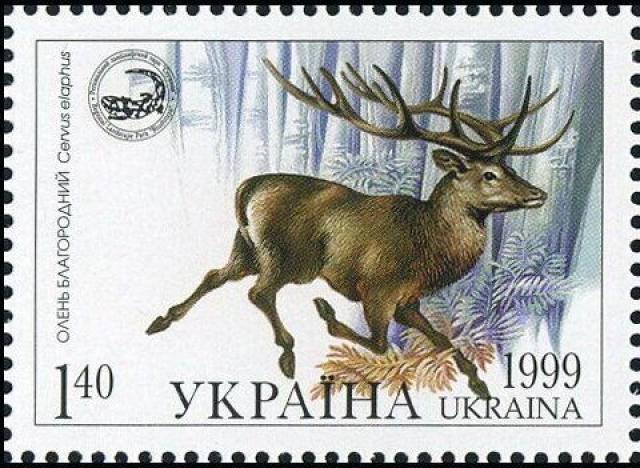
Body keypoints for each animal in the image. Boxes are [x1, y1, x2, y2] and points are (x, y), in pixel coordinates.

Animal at [146, 58, 573, 399]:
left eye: (509, 169)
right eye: (489, 175)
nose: (537, 193)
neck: (430, 250)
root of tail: (246, 189)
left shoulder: (408, 301)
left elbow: (445, 342)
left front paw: (480, 384)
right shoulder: (378, 287)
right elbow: (380, 344)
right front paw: (327, 314)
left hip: (245, 247)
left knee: (215, 274)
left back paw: (162, 320)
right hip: (285, 257)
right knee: (258, 292)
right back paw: (287, 351)